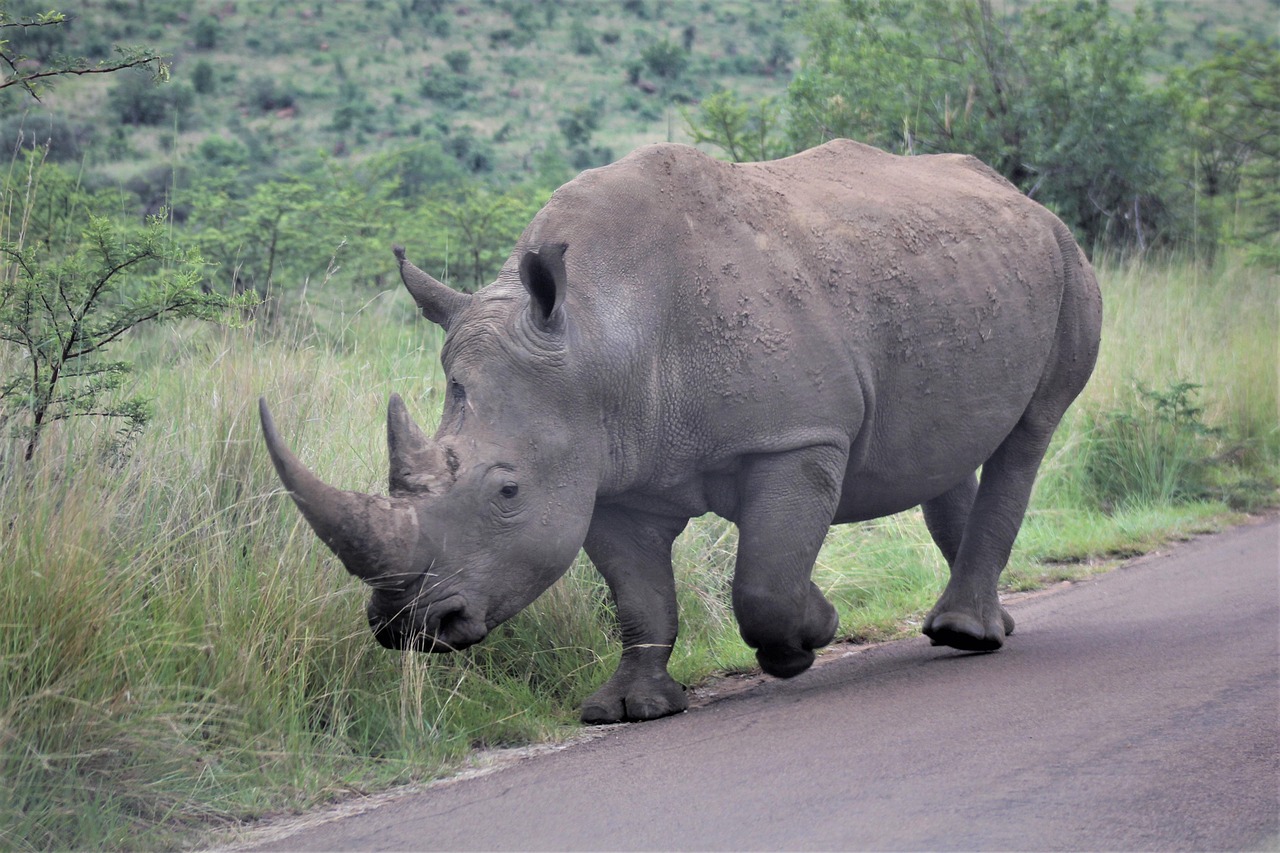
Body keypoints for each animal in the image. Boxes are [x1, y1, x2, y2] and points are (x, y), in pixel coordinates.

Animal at [259, 139, 1102, 723]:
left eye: (506, 490)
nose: (410, 626)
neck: (598, 329)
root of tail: (1018, 195)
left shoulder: (798, 437)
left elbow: (762, 581)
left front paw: (809, 636)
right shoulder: (606, 476)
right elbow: (640, 600)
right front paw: (629, 709)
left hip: (1066, 258)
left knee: (1029, 434)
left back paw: (965, 634)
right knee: (949, 451)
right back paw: (984, 623)